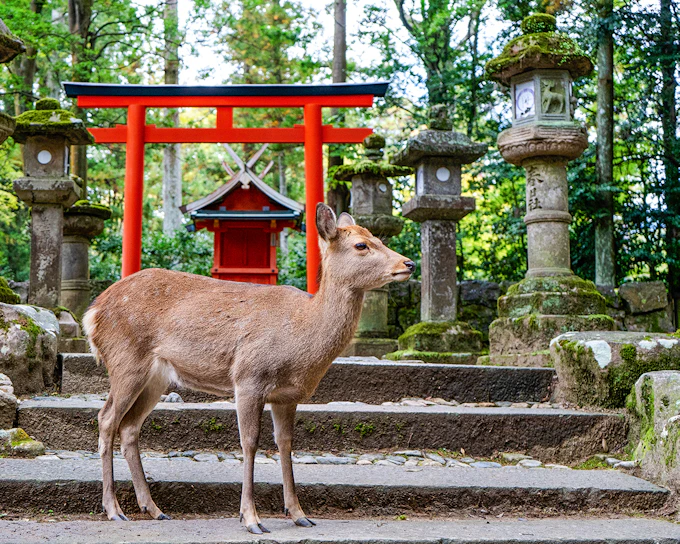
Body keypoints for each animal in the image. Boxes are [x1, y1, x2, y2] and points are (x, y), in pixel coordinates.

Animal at [82, 203, 415, 534]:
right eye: (361, 245)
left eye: (378, 238)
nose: (409, 263)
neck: (302, 338)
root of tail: (92, 313)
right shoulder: (248, 377)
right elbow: (250, 442)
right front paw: (251, 518)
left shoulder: (287, 396)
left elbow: (286, 444)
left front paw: (298, 513)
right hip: (126, 360)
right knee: (107, 419)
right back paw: (113, 509)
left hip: (156, 377)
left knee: (129, 427)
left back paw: (153, 509)